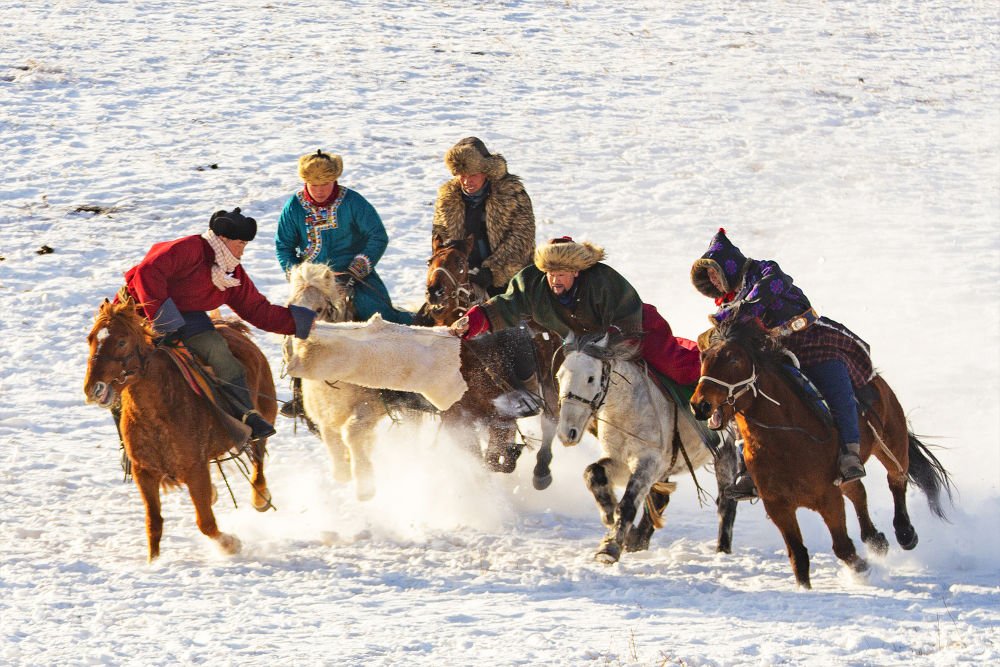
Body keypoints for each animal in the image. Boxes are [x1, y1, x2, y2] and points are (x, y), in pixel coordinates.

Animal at [82, 300, 276, 560]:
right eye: (91, 339)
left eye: (122, 342)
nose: (93, 388)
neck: (157, 415)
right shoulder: (144, 472)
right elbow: (153, 524)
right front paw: (153, 563)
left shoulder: (195, 469)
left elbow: (206, 522)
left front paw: (231, 544)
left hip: (266, 413)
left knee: (258, 458)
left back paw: (260, 497)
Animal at [420, 235, 564, 490]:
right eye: (430, 261)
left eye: (460, 262)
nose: (434, 292)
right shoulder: (457, 421)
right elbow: (481, 461)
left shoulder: (501, 418)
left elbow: (493, 460)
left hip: (549, 381)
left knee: (551, 420)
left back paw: (541, 470)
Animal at [556, 332, 736, 568]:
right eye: (559, 377)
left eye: (590, 378)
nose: (566, 432)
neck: (627, 409)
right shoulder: (620, 461)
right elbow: (593, 473)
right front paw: (613, 518)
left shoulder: (648, 463)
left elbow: (628, 504)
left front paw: (609, 548)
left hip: (726, 453)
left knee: (726, 502)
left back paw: (722, 551)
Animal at [688, 320, 952, 588]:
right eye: (703, 357)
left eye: (734, 359)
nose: (700, 404)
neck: (785, 442)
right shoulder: (777, 505)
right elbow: (798, 556)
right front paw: (805, 588)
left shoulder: (828, 497)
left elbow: (842, 547)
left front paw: (863, 570)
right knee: (857, 491)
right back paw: (875, 540)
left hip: (891, 441)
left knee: (896, 479)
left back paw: (905, 533)